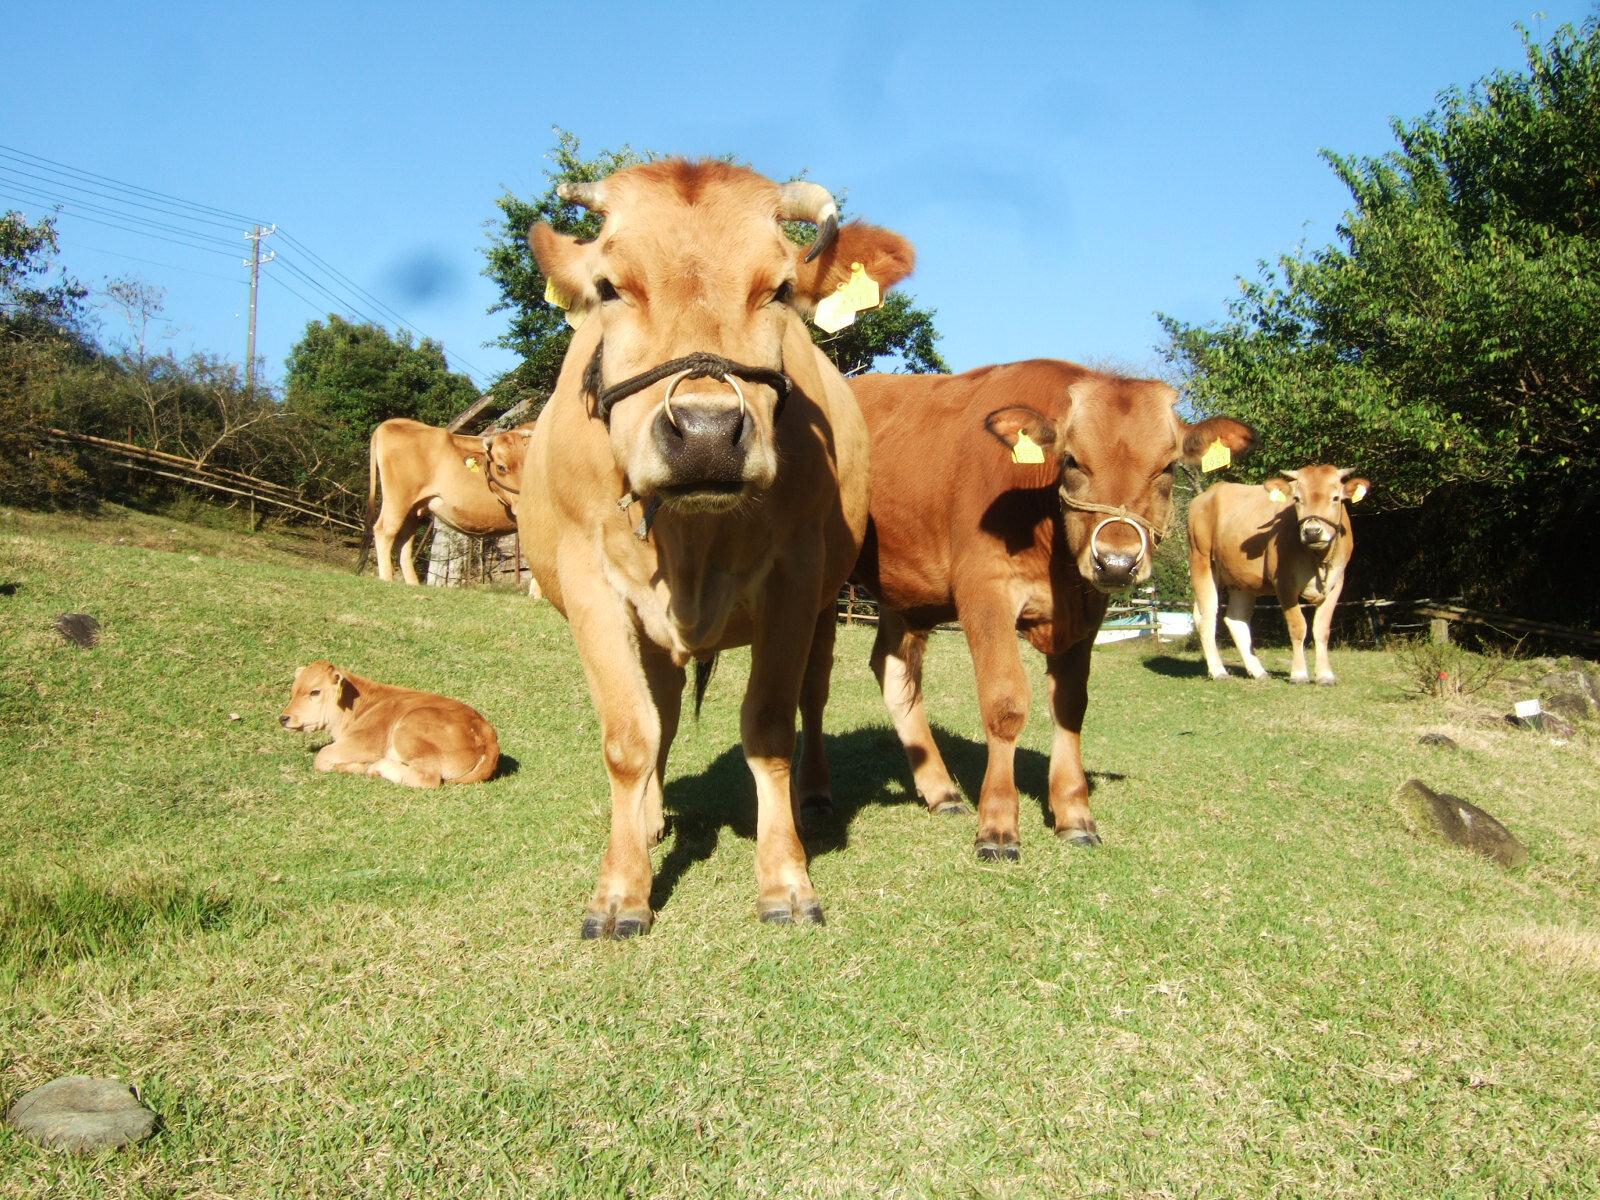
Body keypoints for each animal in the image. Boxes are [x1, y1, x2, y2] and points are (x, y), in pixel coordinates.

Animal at [278, 659, 496, 790]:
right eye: (293, 690)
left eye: (315, 691)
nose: (284, 718)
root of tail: (487, 733)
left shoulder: (364, 743)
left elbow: (323, 756)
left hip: (410, 729)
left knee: (425, 778)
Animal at [364, 419, 515, 585]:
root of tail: (395, 422)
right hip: (398, 498)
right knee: (384, 531)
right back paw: (387, 580)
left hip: (411, 509)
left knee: (404, 541)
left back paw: (413, 584)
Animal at [512, 160, 915, 947]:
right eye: (610, 287)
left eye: (781, 290)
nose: (703, 432)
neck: (691, 538)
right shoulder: (587, 580)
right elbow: (629, 735)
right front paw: (621, 890)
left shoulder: (796, 576)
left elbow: (770, 728)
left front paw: (785, 880)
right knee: (663, 713)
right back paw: (649, 818)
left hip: (828, 603)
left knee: (812, 697)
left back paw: (814, 796)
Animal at [844, 366, 1254, 864]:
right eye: (1073, 461)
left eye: (1168, 467)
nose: (1116, 561)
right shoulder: (985, 592)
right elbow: (1004, 704)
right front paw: (998, 827)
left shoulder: (1087, 612)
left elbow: (1070, 706)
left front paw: (1074, 816)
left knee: (893, 669)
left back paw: (942, 793)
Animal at [1196, 464, 1369, 684]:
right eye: (1297, 498)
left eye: (1336, 498)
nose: (1312, 531)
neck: (1317, 557)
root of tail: (1213, 490)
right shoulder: (1284, 583)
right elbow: (1298, 627)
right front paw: (1299, 673)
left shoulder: (1336, 583)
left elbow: (1321, 629)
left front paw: (1325, 675)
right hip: (1202, 562)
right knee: (1207, 617)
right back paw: (1218, 670)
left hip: (1240, 580)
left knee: (1235, 620)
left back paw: (1257, 671)